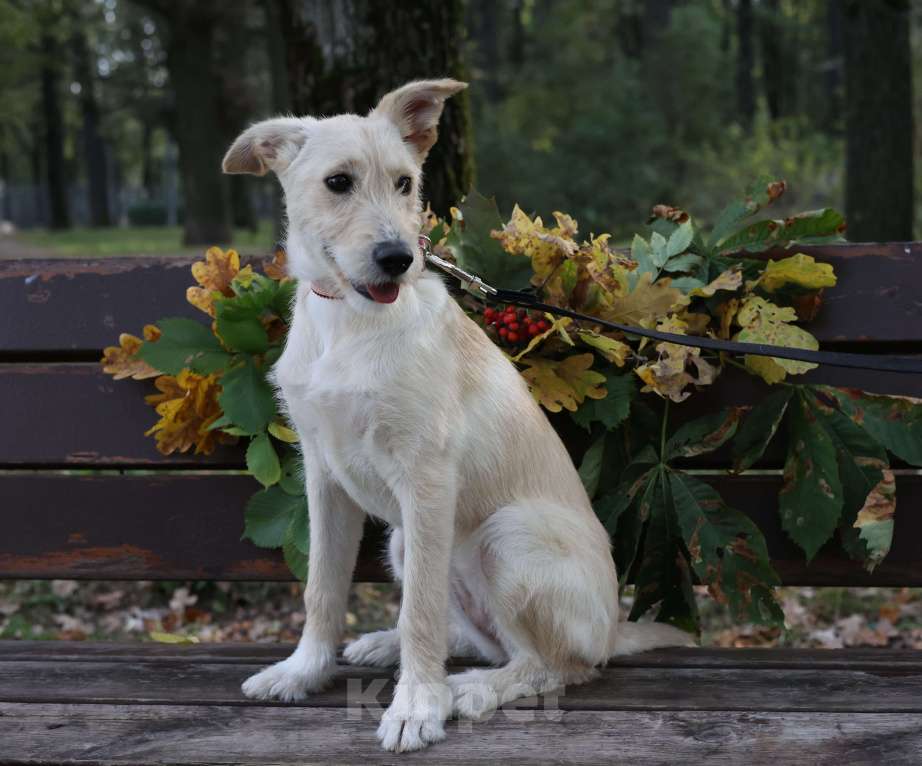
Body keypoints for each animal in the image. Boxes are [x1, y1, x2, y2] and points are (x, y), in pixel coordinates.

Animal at [223, 79, 688, 756]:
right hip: (401, 539)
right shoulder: (324, 477)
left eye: (405, 184)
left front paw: (416, 706)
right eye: (338, 182)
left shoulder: (426, 478)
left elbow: (418, 607)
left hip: (506, 535)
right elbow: (322, 587)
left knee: (556, 665)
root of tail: (612, 632)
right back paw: (387, 645)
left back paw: (468, 689)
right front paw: (303, 671)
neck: (350, 323)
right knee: (473, 634)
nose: (397, 258)